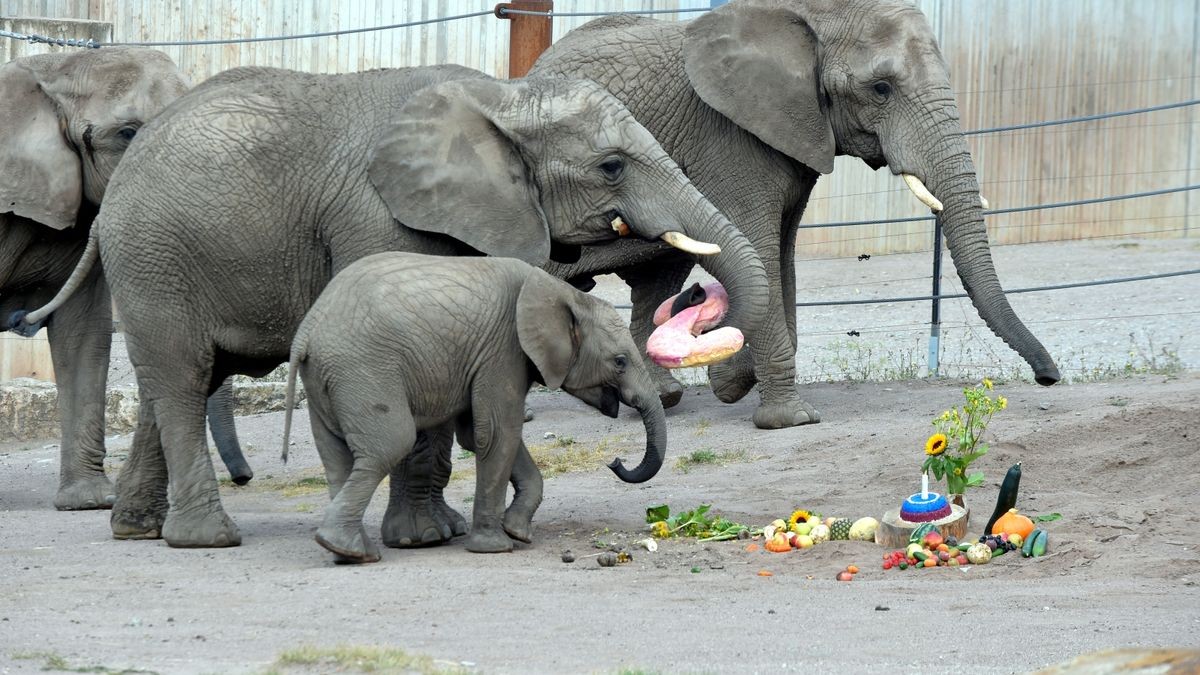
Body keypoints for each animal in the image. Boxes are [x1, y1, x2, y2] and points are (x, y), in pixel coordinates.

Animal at [278, 252, 667, 562]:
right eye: (619, 362)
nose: (615, 462)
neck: (562, 292)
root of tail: (306, 334)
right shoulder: (503, 350)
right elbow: (497, 433)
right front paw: (496, 547)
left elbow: (485, 435)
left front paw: (517, 531)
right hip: (362, 369)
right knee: (390, 444)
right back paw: (346, 548)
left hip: (328, 379)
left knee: (337, 458)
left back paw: (348, 552)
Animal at [530, 0, 1056, 427]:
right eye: (881, 88)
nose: (1048, 377)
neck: (805, 16)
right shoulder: (726, 136)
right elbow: (758, 246)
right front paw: (789, 419)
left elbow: (781, 254)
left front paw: (730, 380)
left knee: (660, 276)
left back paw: (662, 397)